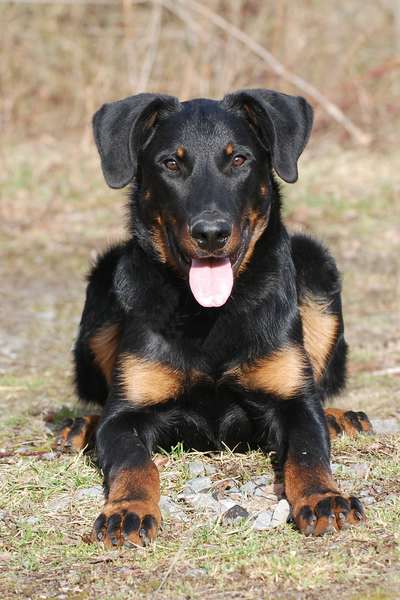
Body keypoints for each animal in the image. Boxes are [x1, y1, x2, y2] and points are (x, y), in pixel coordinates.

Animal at [57, 90, 374, 548]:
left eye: (239, 159)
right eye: (171, 163)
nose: (211, 233)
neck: (208, 314)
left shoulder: (294, 403)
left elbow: (308, 452)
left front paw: (323, 497)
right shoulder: (126, 416)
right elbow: (134, 460)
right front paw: (127, 509)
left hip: (316, 266)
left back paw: (339, 418)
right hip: (101, 286)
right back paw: (81, 425)